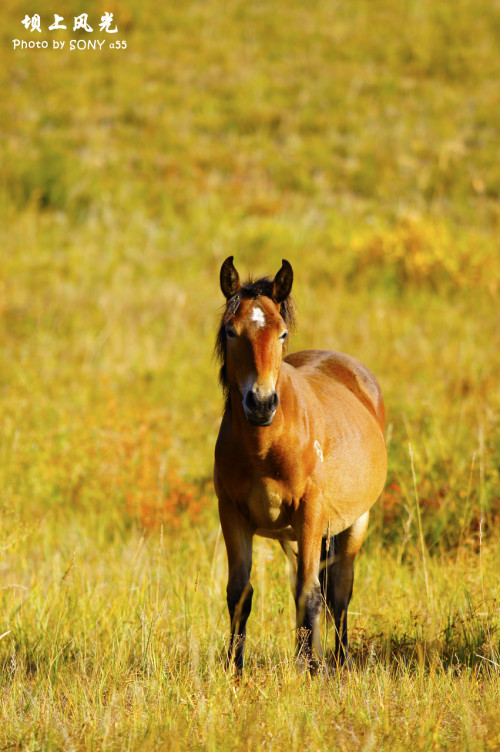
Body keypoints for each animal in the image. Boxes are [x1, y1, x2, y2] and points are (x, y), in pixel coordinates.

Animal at [214, 256, 386, 672]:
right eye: (231, 331)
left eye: (282, 332)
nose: (261, 403)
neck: (264, 449)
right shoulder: (232, 513)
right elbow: (239, 593)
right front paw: (234, 667)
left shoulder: (310, 513)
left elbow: (312, 594)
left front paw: (308, 669)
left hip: (354, 522)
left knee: (338, 590)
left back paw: (339, 661)